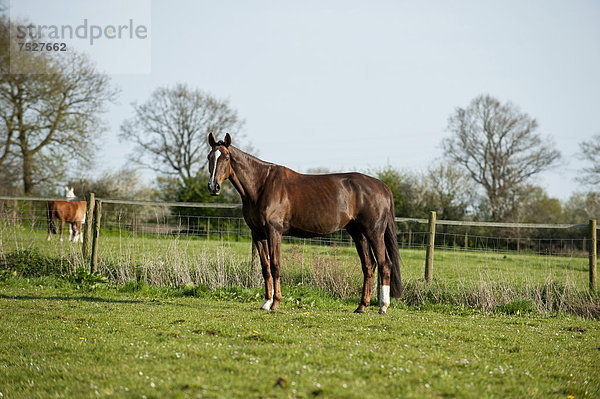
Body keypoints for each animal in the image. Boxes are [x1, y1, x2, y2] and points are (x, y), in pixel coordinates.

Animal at [206, 133, 404, 314]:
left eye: (226, 157)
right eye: (210, 157)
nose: (213, 187)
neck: (262, 185)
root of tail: (383, 187)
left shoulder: (274, 232)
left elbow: (276, 265)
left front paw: (276, 303)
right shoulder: (258, 234)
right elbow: (265, 268)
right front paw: (266, 303)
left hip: (374, 232)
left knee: (385, 264)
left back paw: (383, 306)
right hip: (358, 233)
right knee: (369, 266)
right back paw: (362, 306)